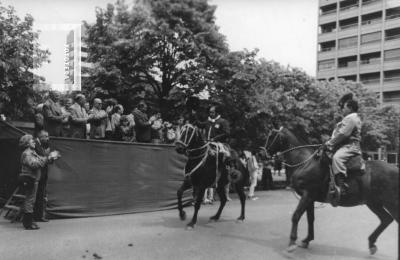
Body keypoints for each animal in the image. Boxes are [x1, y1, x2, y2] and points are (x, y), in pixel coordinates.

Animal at [264, 127, 398, 254]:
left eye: (271, 136)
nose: (263, 153)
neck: (305, 163)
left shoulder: (307, 195)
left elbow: (296, 216)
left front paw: (292, 243)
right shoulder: (310, 199)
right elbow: (310, 219)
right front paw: (307, 240)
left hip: (390, 203)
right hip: (374, 203)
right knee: (386, 219)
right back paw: (371, 243)